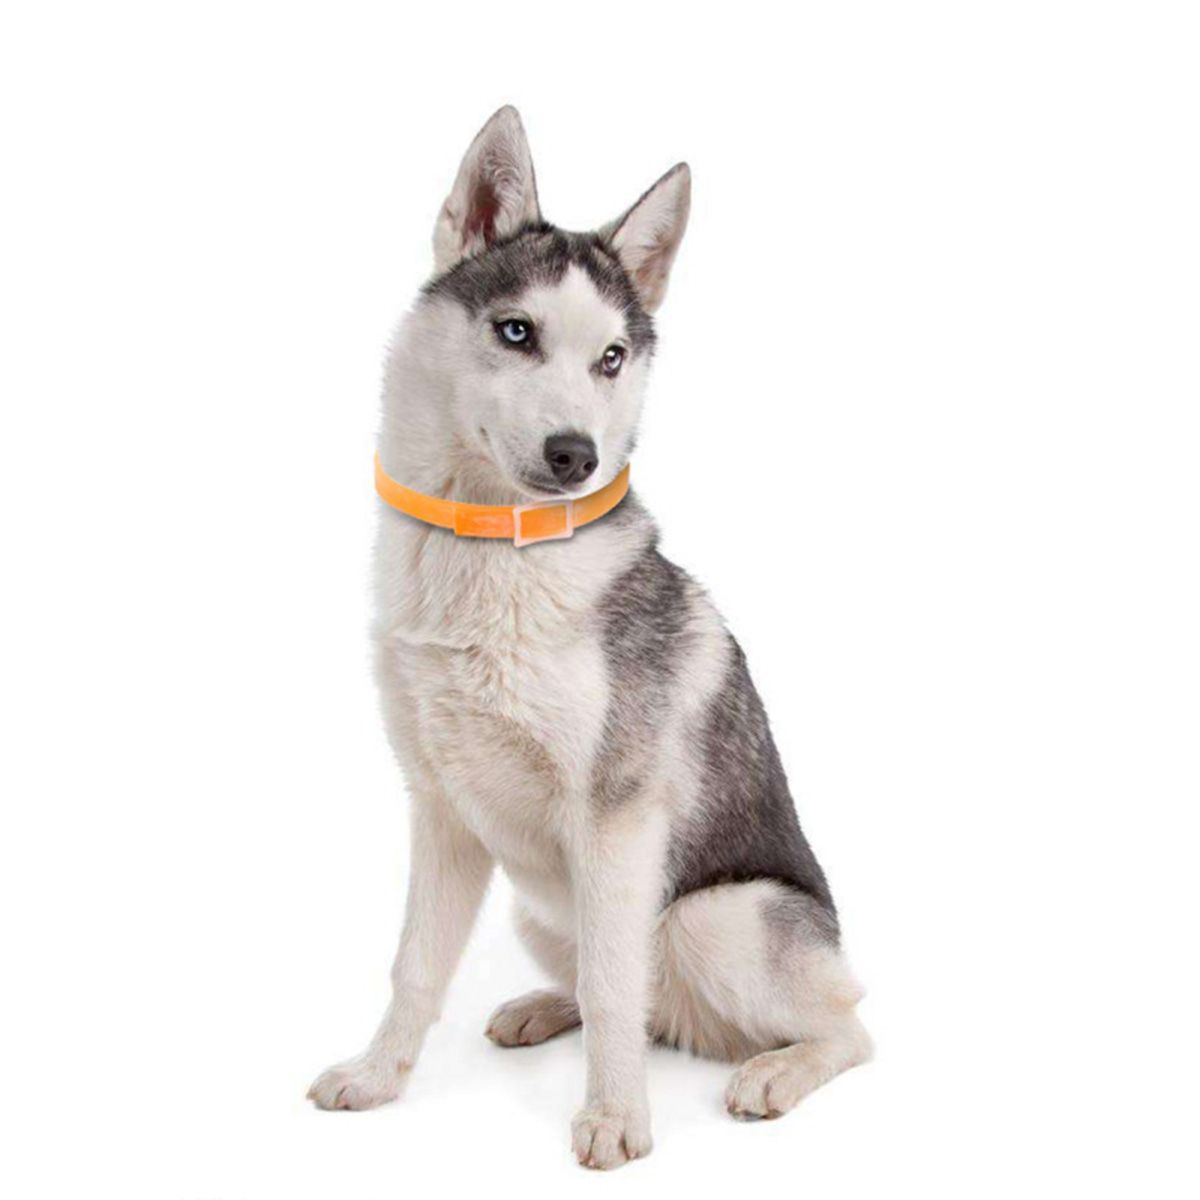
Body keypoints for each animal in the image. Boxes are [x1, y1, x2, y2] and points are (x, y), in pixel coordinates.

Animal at [308, 106, 871, 1169]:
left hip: (711, 915)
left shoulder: (615, 822)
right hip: (542, 908)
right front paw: (378, 1077)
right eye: (515, 331)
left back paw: (774, 1071)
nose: (576, 454)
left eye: (612, 357)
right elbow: (415, 968)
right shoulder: (440, 810)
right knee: (621, 994)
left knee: (844, 1026)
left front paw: (617, 1118)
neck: (491, 554)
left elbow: (616, 989)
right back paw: (541, 1008)